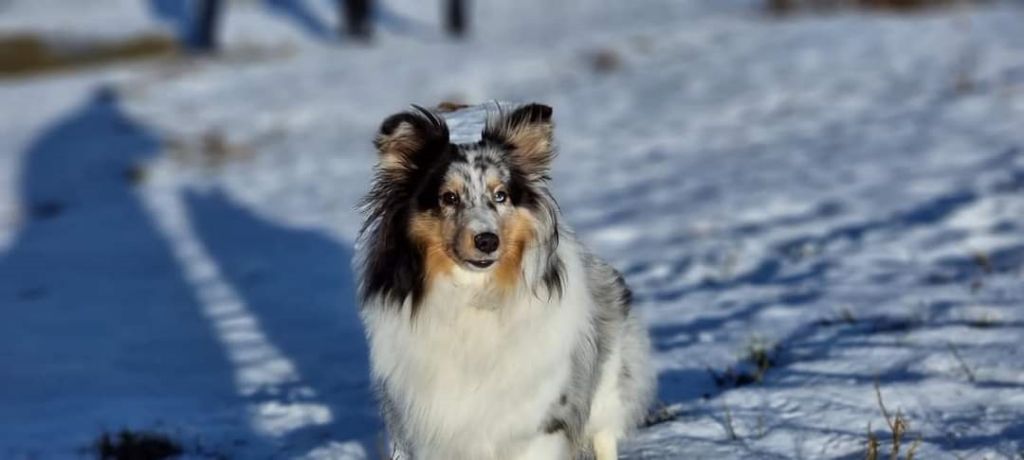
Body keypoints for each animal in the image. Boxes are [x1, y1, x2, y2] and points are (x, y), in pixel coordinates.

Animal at [356, 103, 651, 458]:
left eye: (500, 195)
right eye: (449, 197)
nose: (487, 240)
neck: (474, 296)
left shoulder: (537, 423)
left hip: (606, 393)